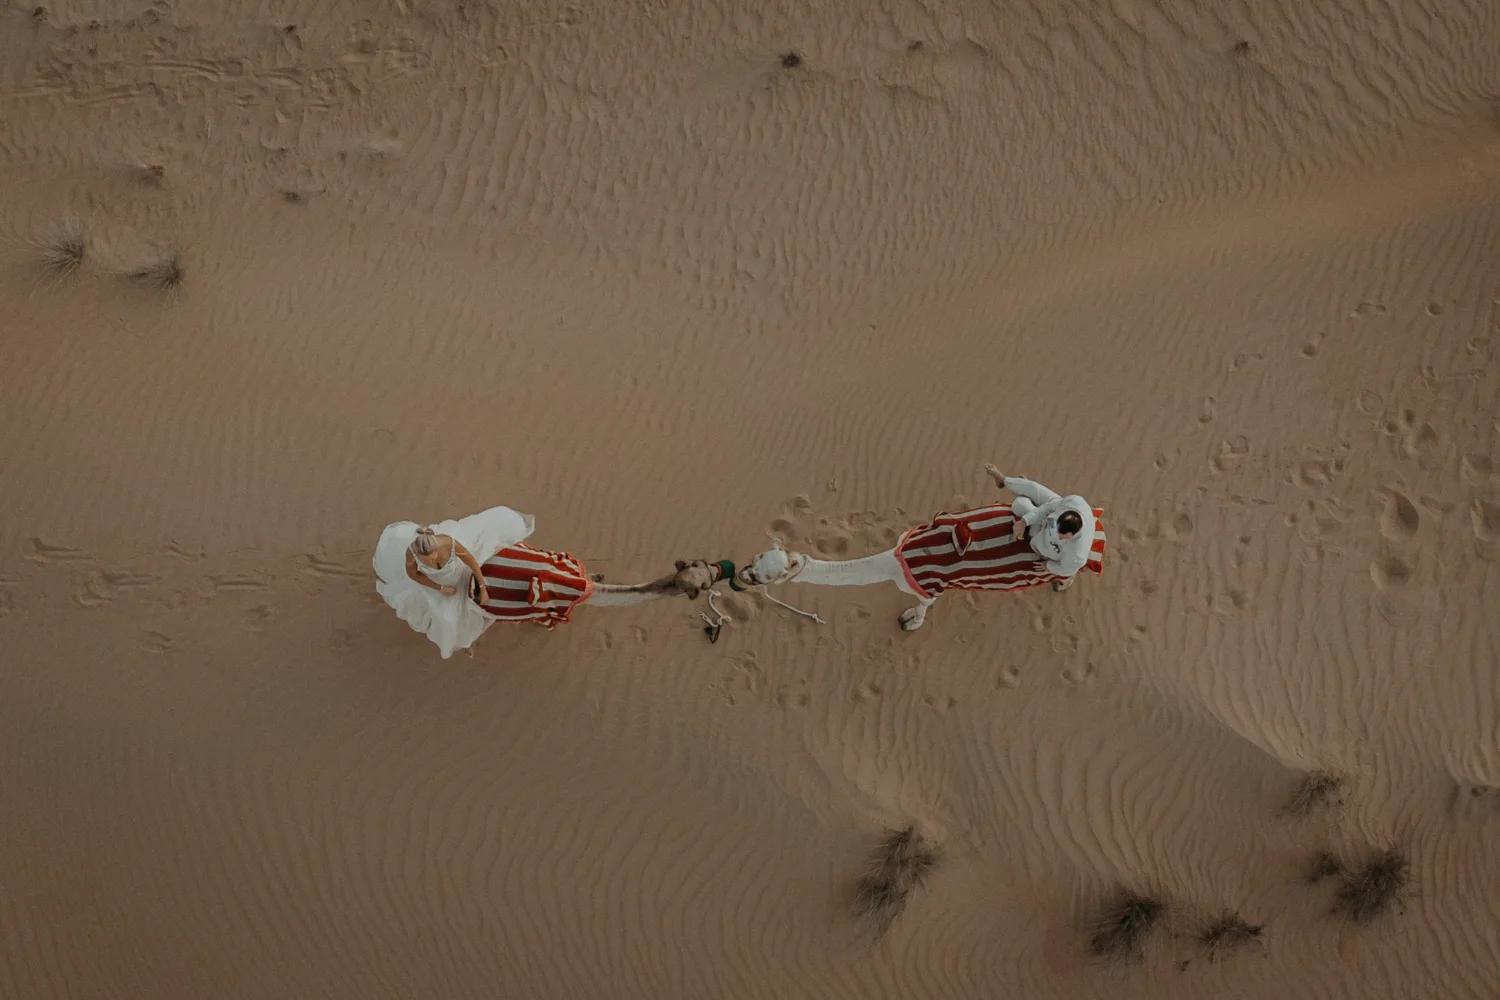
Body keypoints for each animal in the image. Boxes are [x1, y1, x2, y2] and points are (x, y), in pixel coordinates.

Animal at [733, 468, 1105, 632]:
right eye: (756, 558)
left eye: (766, 575)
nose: (741, 575)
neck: (895, 564)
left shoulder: (930, 585)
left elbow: (923, 609)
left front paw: (910, 621)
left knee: (1071, 563)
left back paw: (1063, 581)